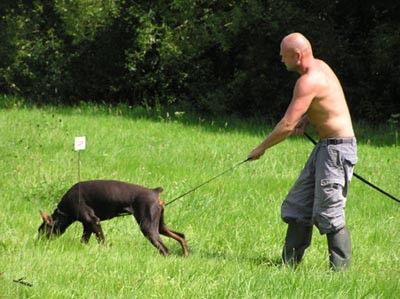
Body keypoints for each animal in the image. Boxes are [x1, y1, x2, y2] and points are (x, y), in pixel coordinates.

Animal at [38, 182, 188, 256]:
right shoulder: (88, 226)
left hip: (148, 227)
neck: (65, 209)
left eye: (41, 231)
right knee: (181, 236)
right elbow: (83, 241)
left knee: (165, 250)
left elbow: (102, 242)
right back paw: (186, 255)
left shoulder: (93, 221)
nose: (37, 243)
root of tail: (155, 191)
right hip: (159, 226)